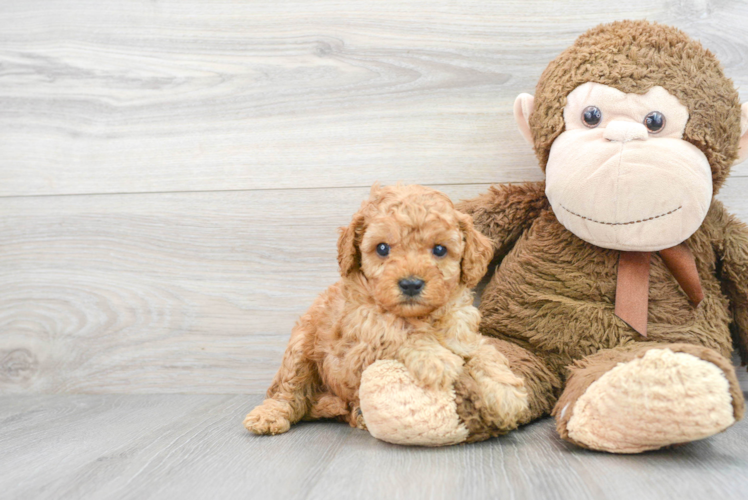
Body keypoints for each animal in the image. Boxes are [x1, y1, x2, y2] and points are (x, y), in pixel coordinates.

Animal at [243, 184, 528, 446]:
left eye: (439, 250)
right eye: (382, 248)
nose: (411, 284)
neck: (421, 316)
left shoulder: (464, 333)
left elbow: (485, 353)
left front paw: (506, 394)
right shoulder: (354, 351)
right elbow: (394, 329)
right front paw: (436, 358)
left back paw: (357, 414)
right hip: (301, 347)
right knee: (287, 391)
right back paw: (269, 415)